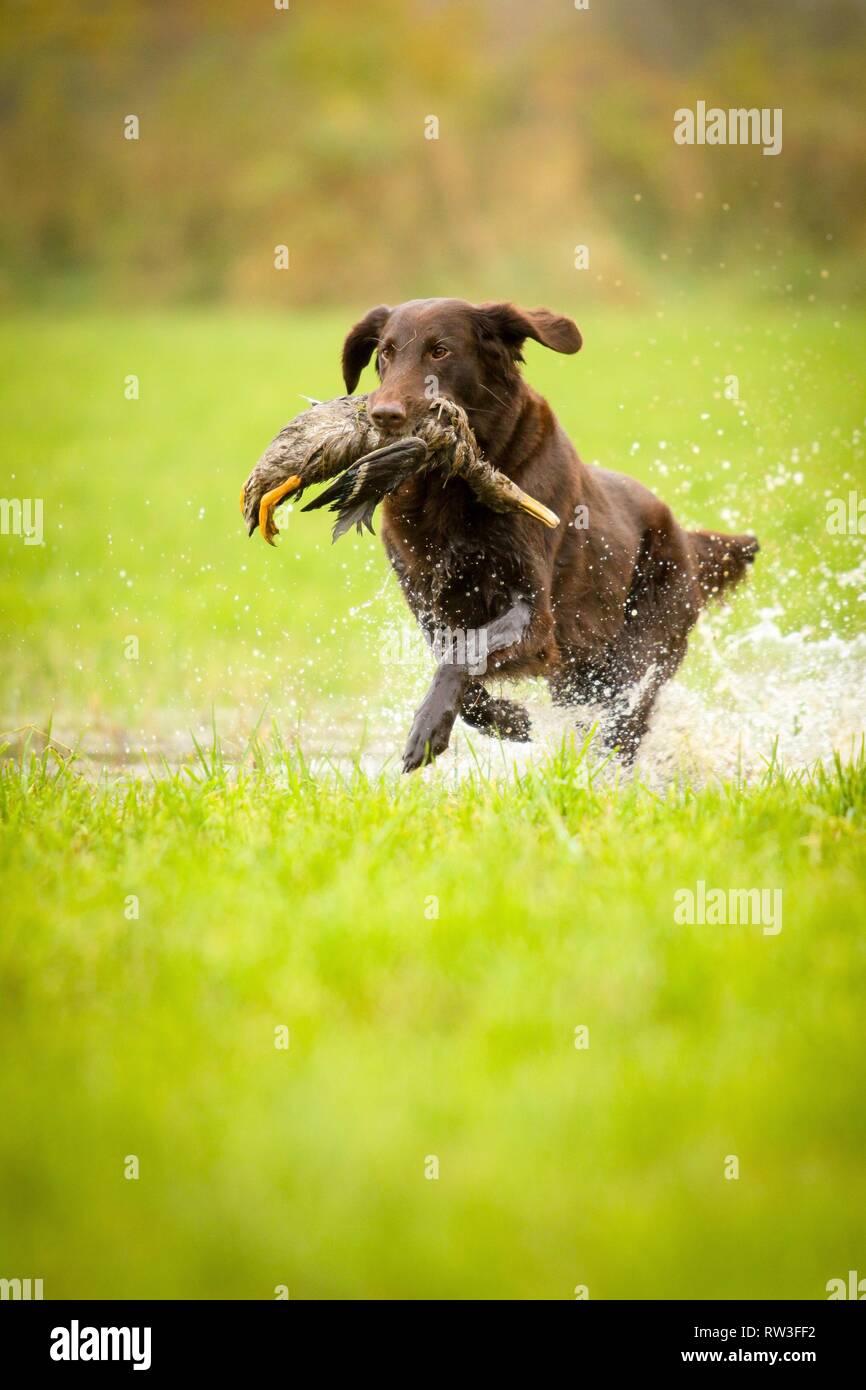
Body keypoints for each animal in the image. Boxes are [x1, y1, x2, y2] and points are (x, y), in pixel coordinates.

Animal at [341, 297, 761, 772]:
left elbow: (465, 654)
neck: (449, 487)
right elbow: (457, 661)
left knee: (622, 730)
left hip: (637, 657)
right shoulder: (427, 603)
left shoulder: (537, 617)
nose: (384, 415)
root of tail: (682, 535)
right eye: (386, 353)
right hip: (578, 675)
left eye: (440, 351)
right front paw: (508, 721)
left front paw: (428, 729)